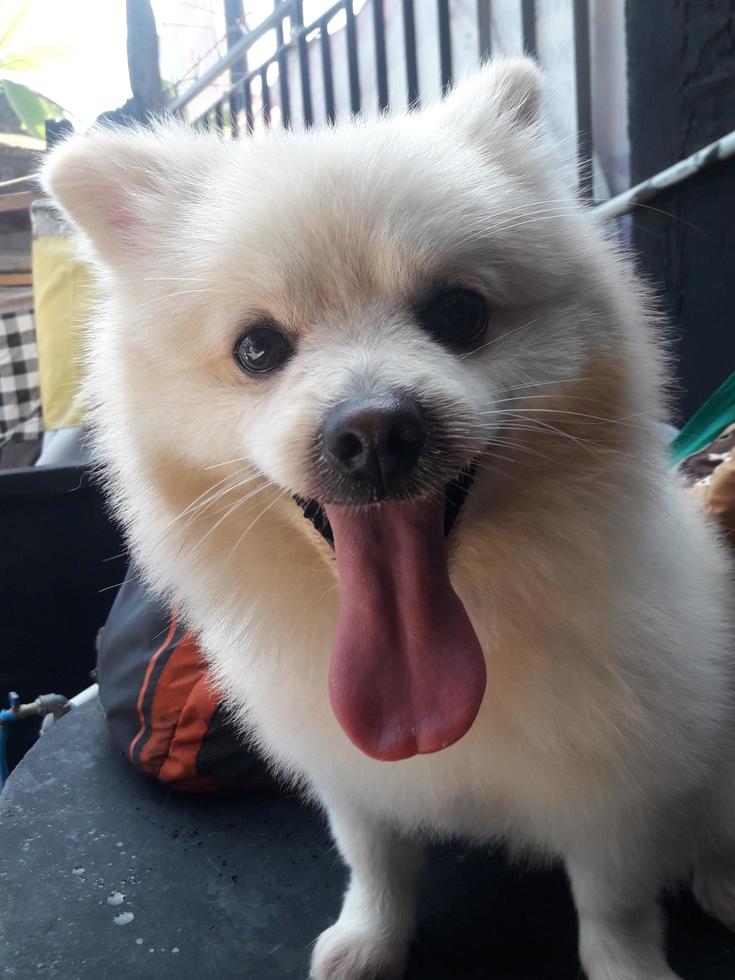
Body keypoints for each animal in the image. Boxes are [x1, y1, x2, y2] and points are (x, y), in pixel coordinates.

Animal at [44, 61, 735, 980]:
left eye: (458, 313)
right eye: (256, 349)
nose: (373, 431)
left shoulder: (618, 785)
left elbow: (612, 908)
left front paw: (629, 970)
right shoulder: (353, 770)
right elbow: (374, 859)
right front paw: (370, 941)